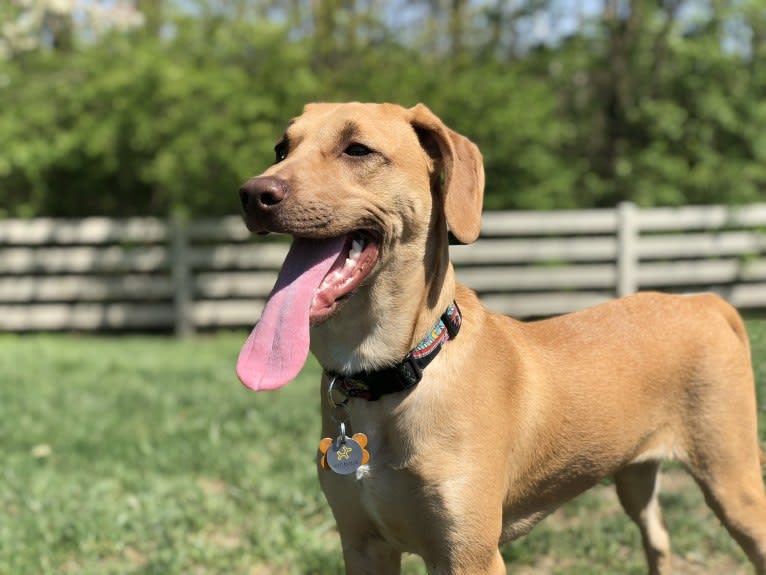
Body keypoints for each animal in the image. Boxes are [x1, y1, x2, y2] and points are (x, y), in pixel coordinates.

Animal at [238, 103, 766, 575]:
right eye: (282, 148)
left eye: (358, 149)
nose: (252, 193)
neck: (391, 374)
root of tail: (705, 302)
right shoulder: (363, 546)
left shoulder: (469, 554)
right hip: (635, 475)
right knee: (658, 537)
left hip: (731, 476)